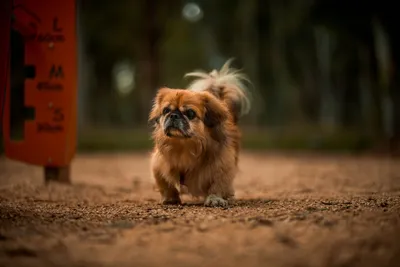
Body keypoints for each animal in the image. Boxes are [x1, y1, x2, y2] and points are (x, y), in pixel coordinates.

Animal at [148, 59, 252, 208]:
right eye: (166, 110)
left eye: (190, 113)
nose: (173, 115)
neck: (184, 146)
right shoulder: (158, 165)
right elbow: (166, 184)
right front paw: (170, 198)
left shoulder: (222, 165)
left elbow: (218, 185)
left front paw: (215, 199)